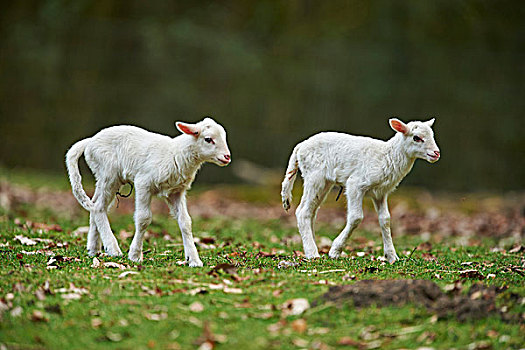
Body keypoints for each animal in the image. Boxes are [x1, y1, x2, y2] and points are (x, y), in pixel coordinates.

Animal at [65, 116, 229, 266]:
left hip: (103, 176)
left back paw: (94, 248)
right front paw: (135, 255)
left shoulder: (176, 192)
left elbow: (185, 222)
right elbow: (143, 219)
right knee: (99, 207)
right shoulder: (143, 183)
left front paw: (194, 260)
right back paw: (113, 249)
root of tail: (90, 141)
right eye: (208, 139)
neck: (175, 154)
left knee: (95, 204)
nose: (227, 157)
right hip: (109, 173)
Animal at [280, 117, 440, 262]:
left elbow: (385, 220)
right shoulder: (355, 184)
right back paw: (312, 253)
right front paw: (335, 251)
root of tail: (300, 146)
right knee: (303, 212)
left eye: (432, 135)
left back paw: (312, 247)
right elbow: (356, 217)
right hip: (314, 176)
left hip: (324, 182)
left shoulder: (380, 193)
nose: (436, 153)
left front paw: (391, 256)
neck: (387, 156)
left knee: (312, 212)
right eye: (416, 138)